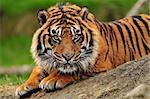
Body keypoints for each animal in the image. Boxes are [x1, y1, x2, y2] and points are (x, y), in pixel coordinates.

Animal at [15, 3, 149, 96]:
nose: (67, 57)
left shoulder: (99, 65)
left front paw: (50, 80)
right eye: (56, 37)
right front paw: (24, 86)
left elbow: (74, 69)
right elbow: (37, 69)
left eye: (76, 36)